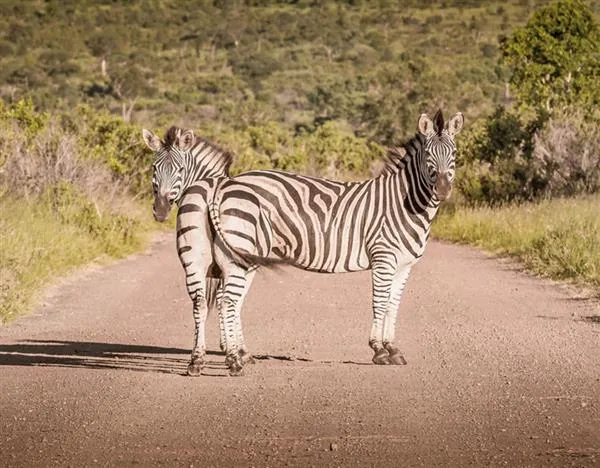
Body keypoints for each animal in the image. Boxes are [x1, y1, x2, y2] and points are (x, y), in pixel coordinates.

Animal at [143, 127, 239, 376]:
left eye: (180, 170)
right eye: (154, 168)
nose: (161, 210)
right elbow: (225, 301)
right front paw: (229, 347)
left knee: (201, 303)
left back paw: (198, 360)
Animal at [209, 109, 466, 376]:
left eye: (455, 153)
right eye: (428, 154)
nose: (443, 189)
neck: (405, 204)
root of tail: (228, 184)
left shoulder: (404, 265)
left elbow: (393, 304)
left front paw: (392, 348)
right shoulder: (383, 258)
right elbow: (379, 302)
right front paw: (379, 350)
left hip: (246, 255)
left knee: (229, 299)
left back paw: (241, 353)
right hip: (240, 249)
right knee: (227, 300)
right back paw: (232, 359)